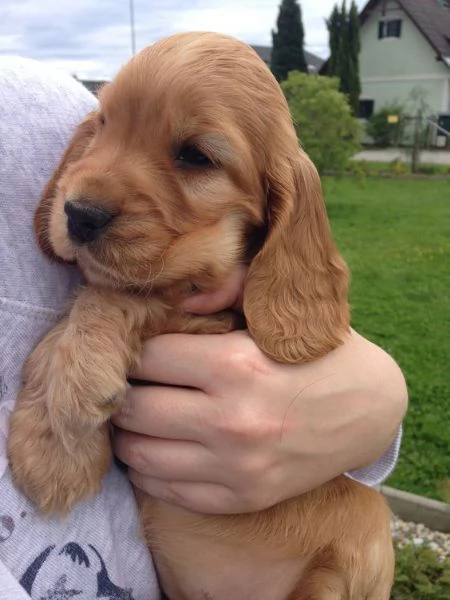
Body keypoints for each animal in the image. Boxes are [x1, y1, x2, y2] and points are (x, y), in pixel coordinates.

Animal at [7, 31, 394, 600]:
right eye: (103, 125)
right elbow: (75, 310)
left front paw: (70, 405)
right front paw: (50, 447)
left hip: (359, 536)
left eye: (195, 156)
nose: (78, 213)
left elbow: (113, 294)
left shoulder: (209, 315)